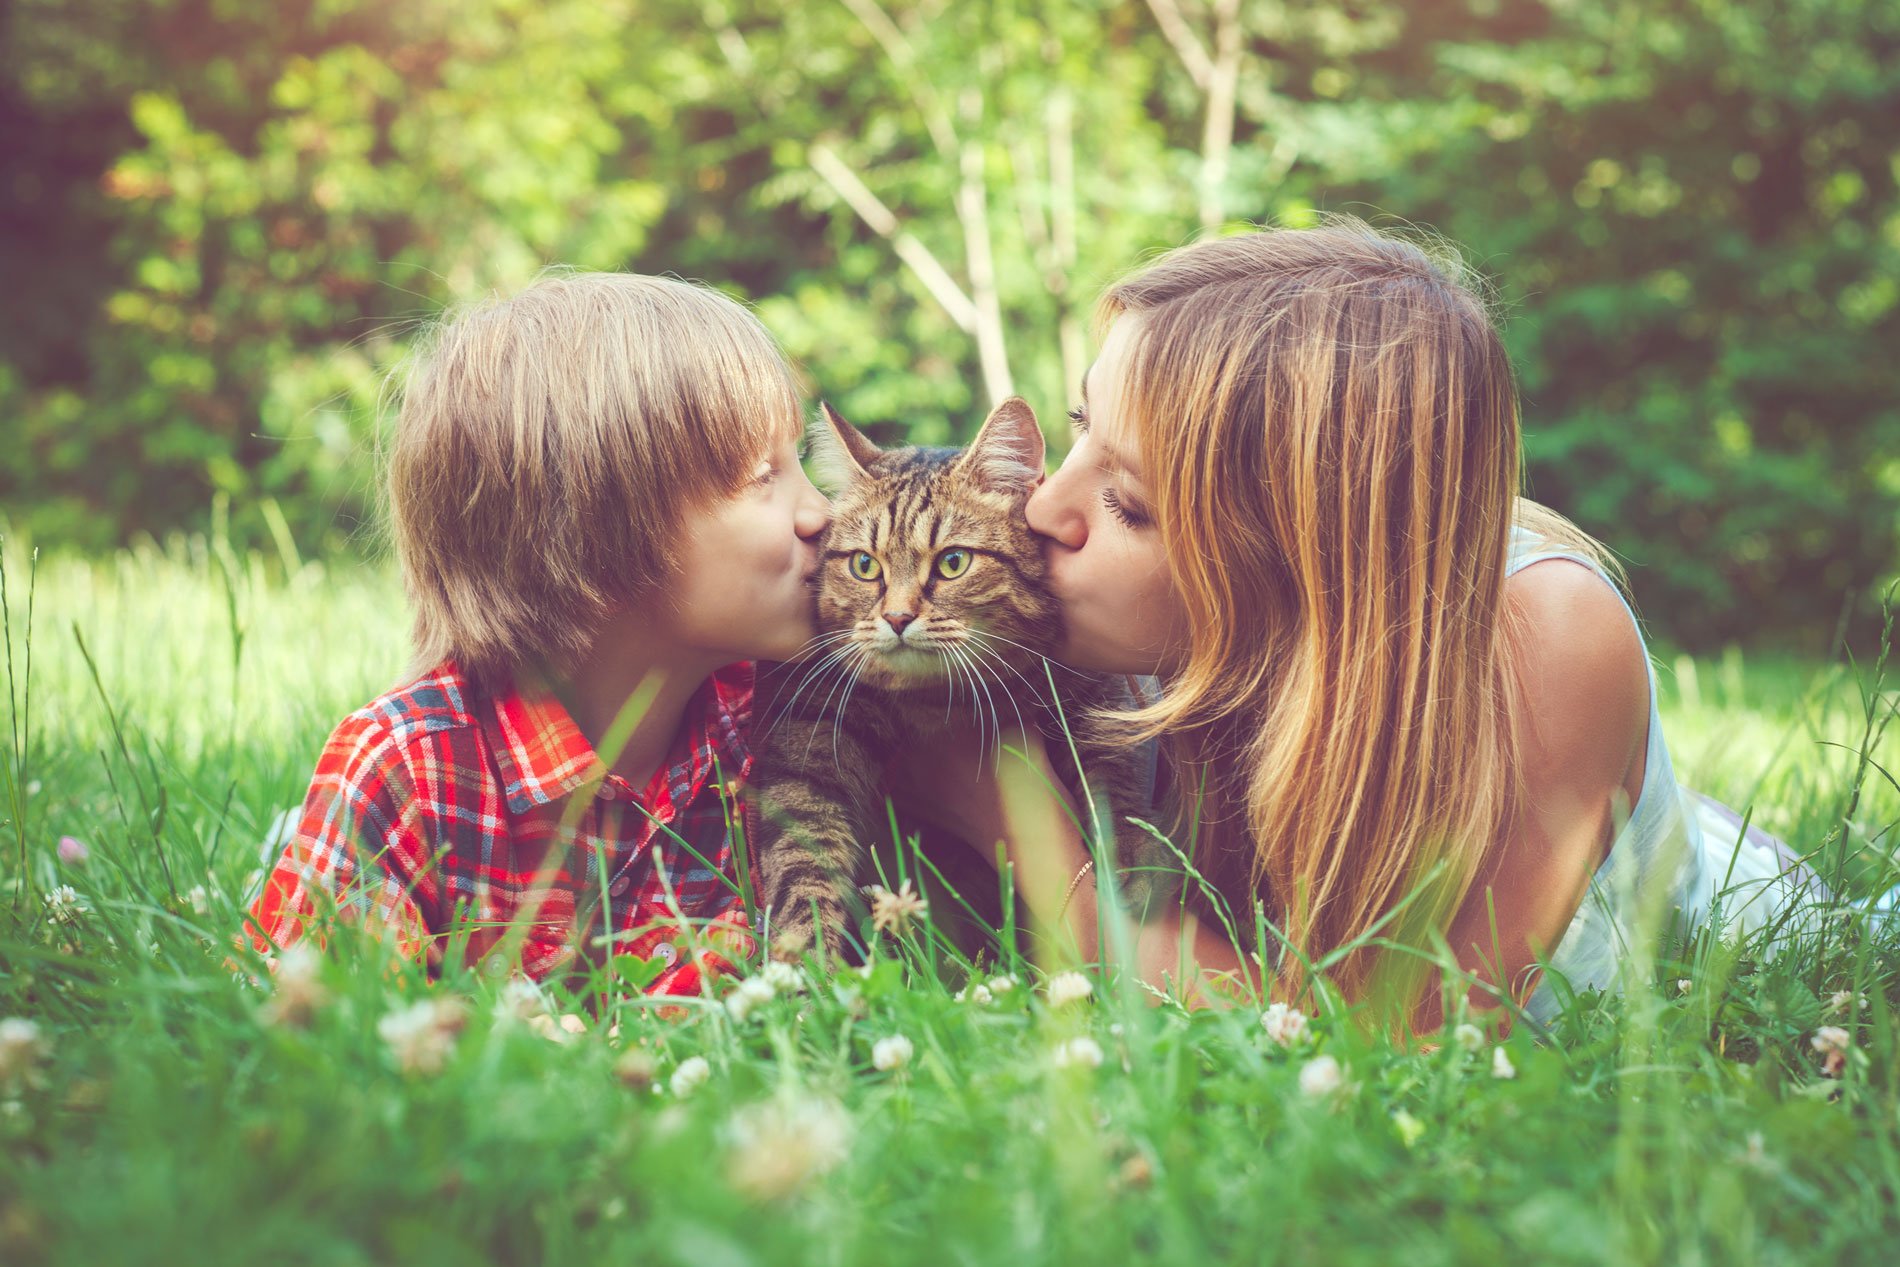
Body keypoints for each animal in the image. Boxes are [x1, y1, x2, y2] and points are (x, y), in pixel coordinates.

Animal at [748, 397, 1162, 961]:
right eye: (864, 566)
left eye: (953, 562)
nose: (897, 618)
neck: (935, 702)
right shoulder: (808, 737)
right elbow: (802, 866)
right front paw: (806, 966)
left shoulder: (1102, 692)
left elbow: (1115, 776)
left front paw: (1131, 857)